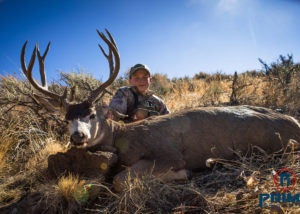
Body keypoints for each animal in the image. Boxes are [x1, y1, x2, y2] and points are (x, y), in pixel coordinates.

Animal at [20, 29, 300, 191]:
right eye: (65, 120)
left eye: (91, 115)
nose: (78, 136)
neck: (122, 136)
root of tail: (295, 123)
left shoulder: (167, 153)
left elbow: (120, 180)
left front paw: (184, 173)